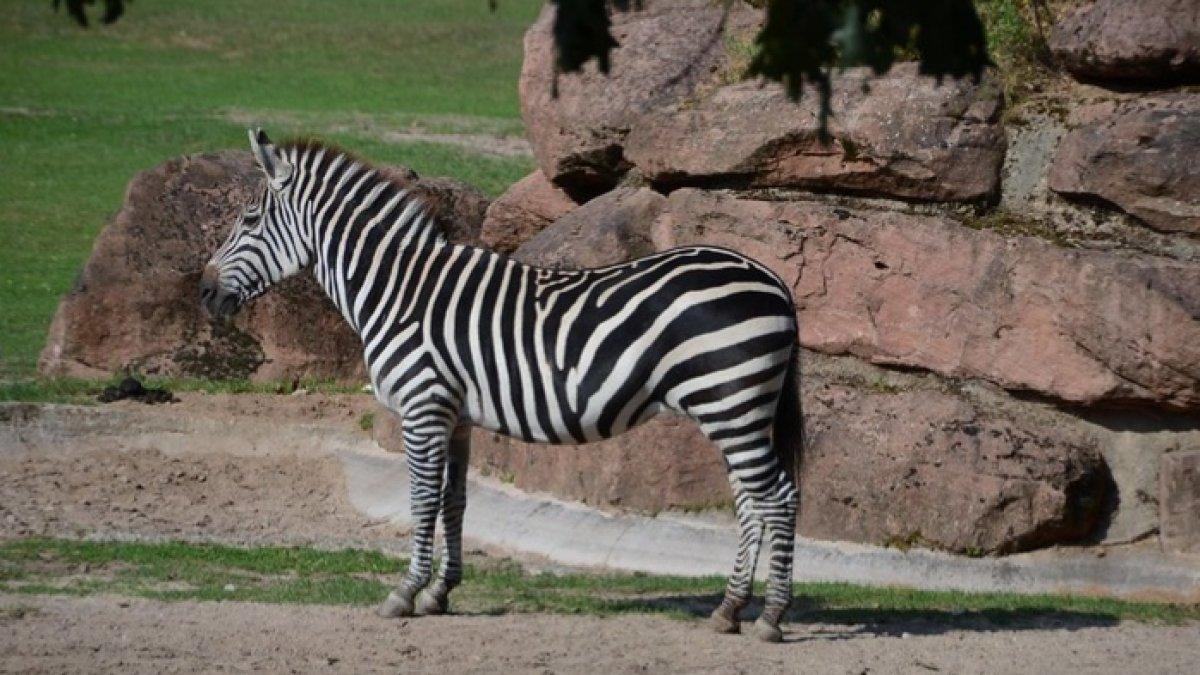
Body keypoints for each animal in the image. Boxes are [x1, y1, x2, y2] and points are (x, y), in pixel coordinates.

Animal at [200, 129, 802, 642]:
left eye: (249, 219)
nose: (203, 293)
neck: (398, 290)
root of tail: (773, 280)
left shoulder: (421, 407)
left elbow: (421, 500)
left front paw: (404, 593)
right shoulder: (455, 416)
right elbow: (454, 501)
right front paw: (440, 593)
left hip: (729, 403)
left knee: (778, 497)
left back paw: (771, 617)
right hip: (737, 408)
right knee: (751, 501)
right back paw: (729, 609)